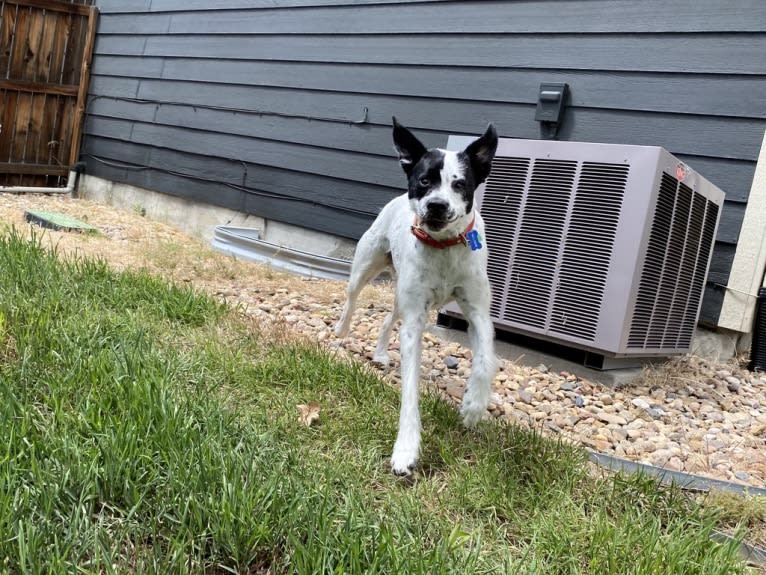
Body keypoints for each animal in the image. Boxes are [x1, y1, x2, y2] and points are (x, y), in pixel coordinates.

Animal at [336, 118, 498, 476]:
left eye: (460, 184)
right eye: (424, 181)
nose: (436, 205)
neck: (443, 248)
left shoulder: (477, 311)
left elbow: (485, 361)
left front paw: (473, 407)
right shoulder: (414, 323)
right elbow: (409, 391)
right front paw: (405, 449)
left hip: (402, 296)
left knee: (387, 319)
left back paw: (380, 353)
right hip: (367, 264)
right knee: (352, 299)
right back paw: (341, 330)